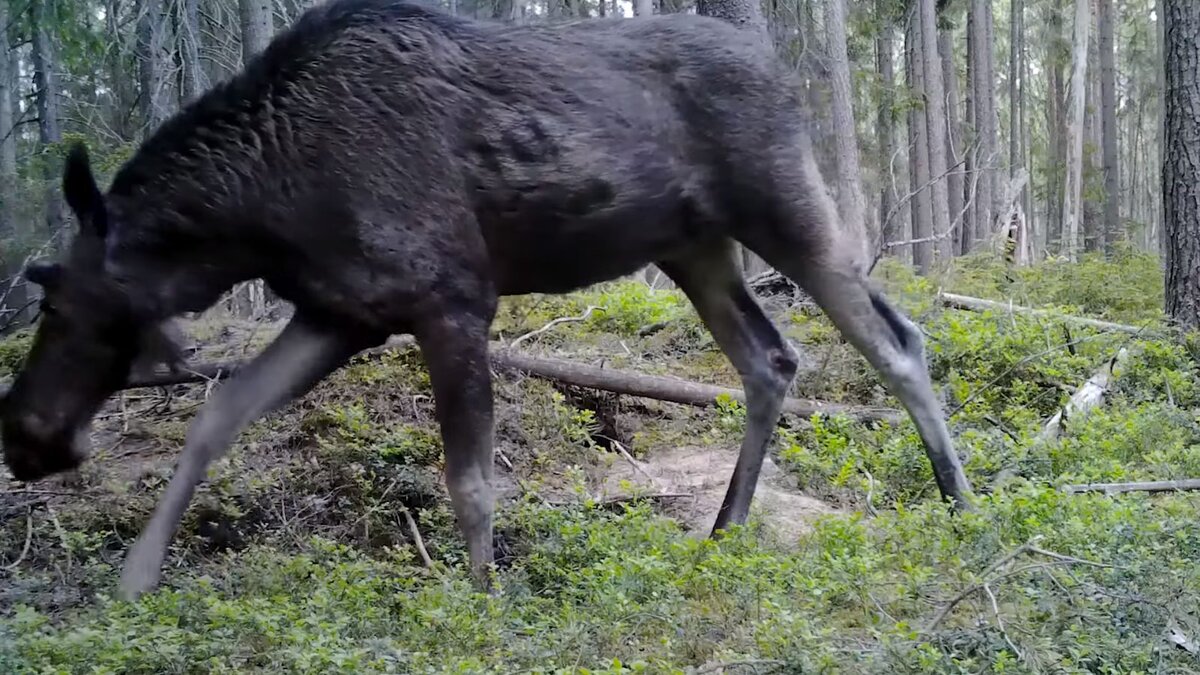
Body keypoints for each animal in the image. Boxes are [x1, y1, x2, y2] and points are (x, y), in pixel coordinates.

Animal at [0, 0, 974, 598]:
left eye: (55, 299)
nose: (21, 436)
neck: (260, 215)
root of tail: (786, 73)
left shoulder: (454, 301)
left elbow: (469, 479)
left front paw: (484, 595)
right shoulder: (339, 313)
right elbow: (218, 413)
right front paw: (136, 575)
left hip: (786, 207)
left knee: (898, 341)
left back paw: (961, 501)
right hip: (695, 249)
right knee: (771, 359)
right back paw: (726, 528)